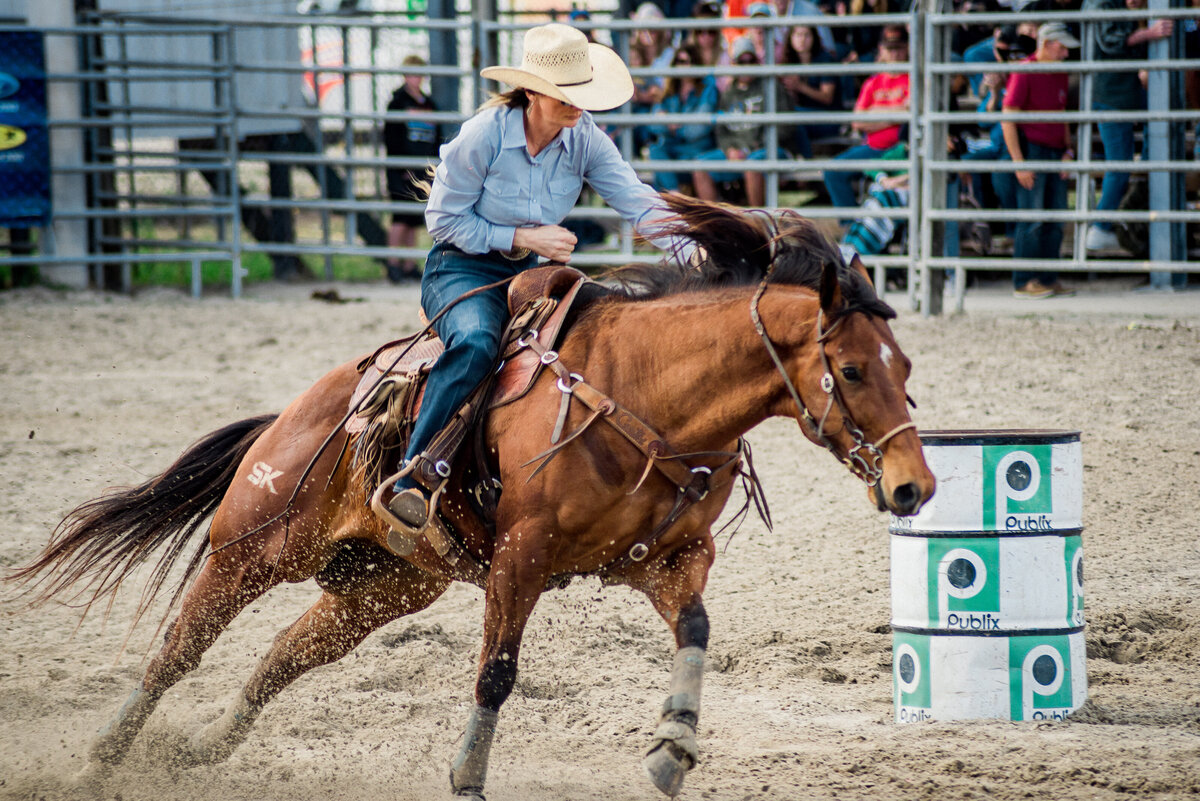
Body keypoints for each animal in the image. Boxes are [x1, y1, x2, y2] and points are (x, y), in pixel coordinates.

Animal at [9, 195, 931, 801]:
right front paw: (468, 773)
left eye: (907, 366)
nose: (912, 484)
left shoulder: (667, 559)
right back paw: (100, 757)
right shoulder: (521, 558)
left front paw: (673, 745)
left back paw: (201, 749)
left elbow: (698, 630)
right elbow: (496, 671)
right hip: (256, 546)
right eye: (852, 369)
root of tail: (301, 410)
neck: (647, 390)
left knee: (283, 655)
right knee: (178, 648)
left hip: (378, 588)